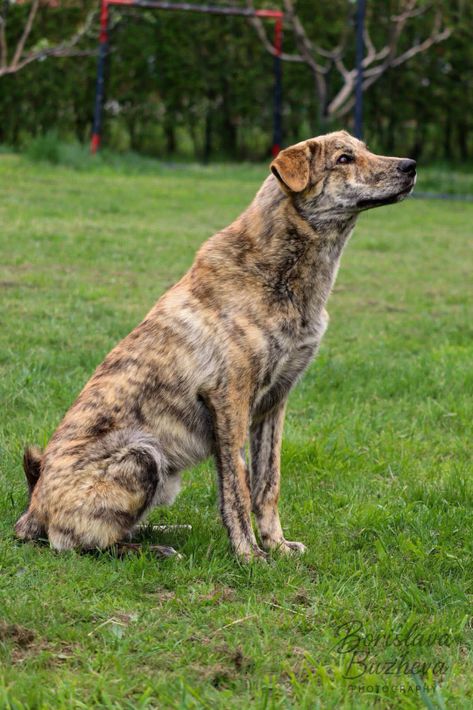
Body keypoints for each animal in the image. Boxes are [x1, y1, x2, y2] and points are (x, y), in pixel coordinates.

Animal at [15, 131, 416, 560]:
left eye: (367, 149)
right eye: (344, 158)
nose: (411, 166)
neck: (279, 271)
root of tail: (31, 511)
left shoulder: (273, 404)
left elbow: (268, 484)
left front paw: (277, 545)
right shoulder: (229, 399)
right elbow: (237, 486)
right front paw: (250, 556)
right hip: (143, 455)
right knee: (79, 542)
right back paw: (154, 550)